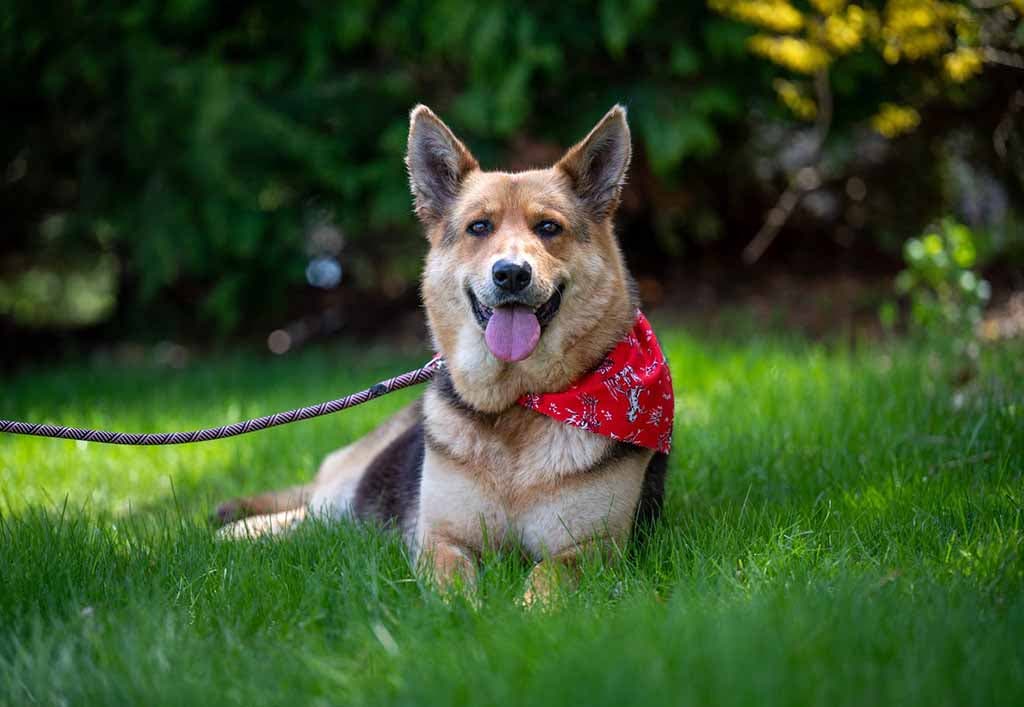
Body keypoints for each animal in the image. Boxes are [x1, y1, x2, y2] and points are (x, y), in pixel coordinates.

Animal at [216, 104, 671, 598]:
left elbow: (549, 577)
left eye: (549, 227)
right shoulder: (440, 538)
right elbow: (452, 584)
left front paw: (528, 610)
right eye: (479, 227)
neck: (516, 404)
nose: (512, 274)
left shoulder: (593, 548)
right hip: (343, 492)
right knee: (308, 512)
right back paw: (238, 532)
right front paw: (468, 611)